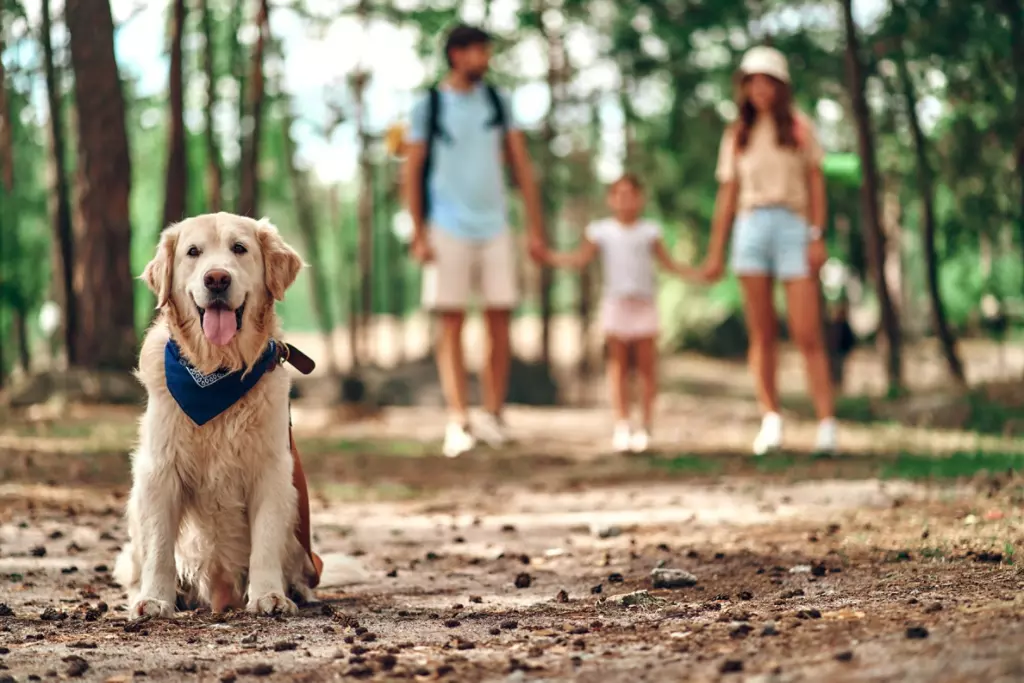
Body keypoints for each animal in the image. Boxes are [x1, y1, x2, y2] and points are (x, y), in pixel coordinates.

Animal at [114, 214, 317, 618]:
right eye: (193, 252)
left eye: (240, 248)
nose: (217, 279)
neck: (216, 372)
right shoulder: (160, 470)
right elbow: (160, 548)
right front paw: (155, 599)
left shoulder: (272, 469)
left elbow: (266, 540)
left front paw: (269, 595)